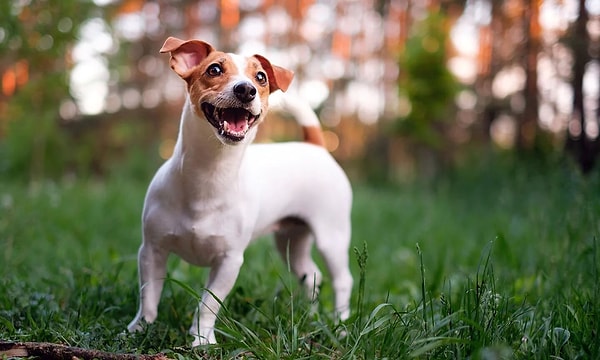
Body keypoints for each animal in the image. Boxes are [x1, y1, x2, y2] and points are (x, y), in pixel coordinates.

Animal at [126, 37, 352, 346]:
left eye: (261, 77)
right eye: (214, 69)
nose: (246, 89)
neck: (209, 174)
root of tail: (315, 146)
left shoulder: (229, 261)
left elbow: (208, 304)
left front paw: (201, 340)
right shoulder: (152, 250)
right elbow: (149, 294)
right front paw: (140, 328)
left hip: (332, 237)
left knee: (342, 280)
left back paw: (340, 325)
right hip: (291, 240)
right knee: (311, 274)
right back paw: (311, 314)